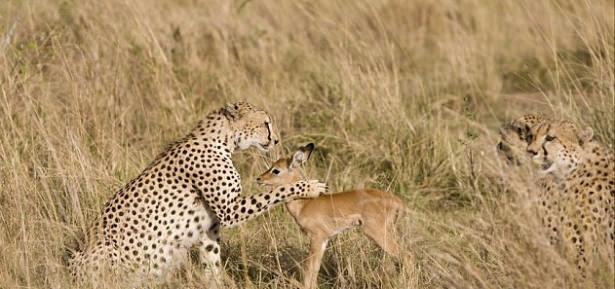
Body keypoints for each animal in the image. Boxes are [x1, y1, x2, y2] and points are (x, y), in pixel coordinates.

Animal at [68, 101, 330, 286]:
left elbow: (212, 262)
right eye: (265, 123)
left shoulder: (210, 227)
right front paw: (310, 187)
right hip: (104, 250)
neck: (224, 141)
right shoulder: (230, 211)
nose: (275, 140)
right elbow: (274, 193)